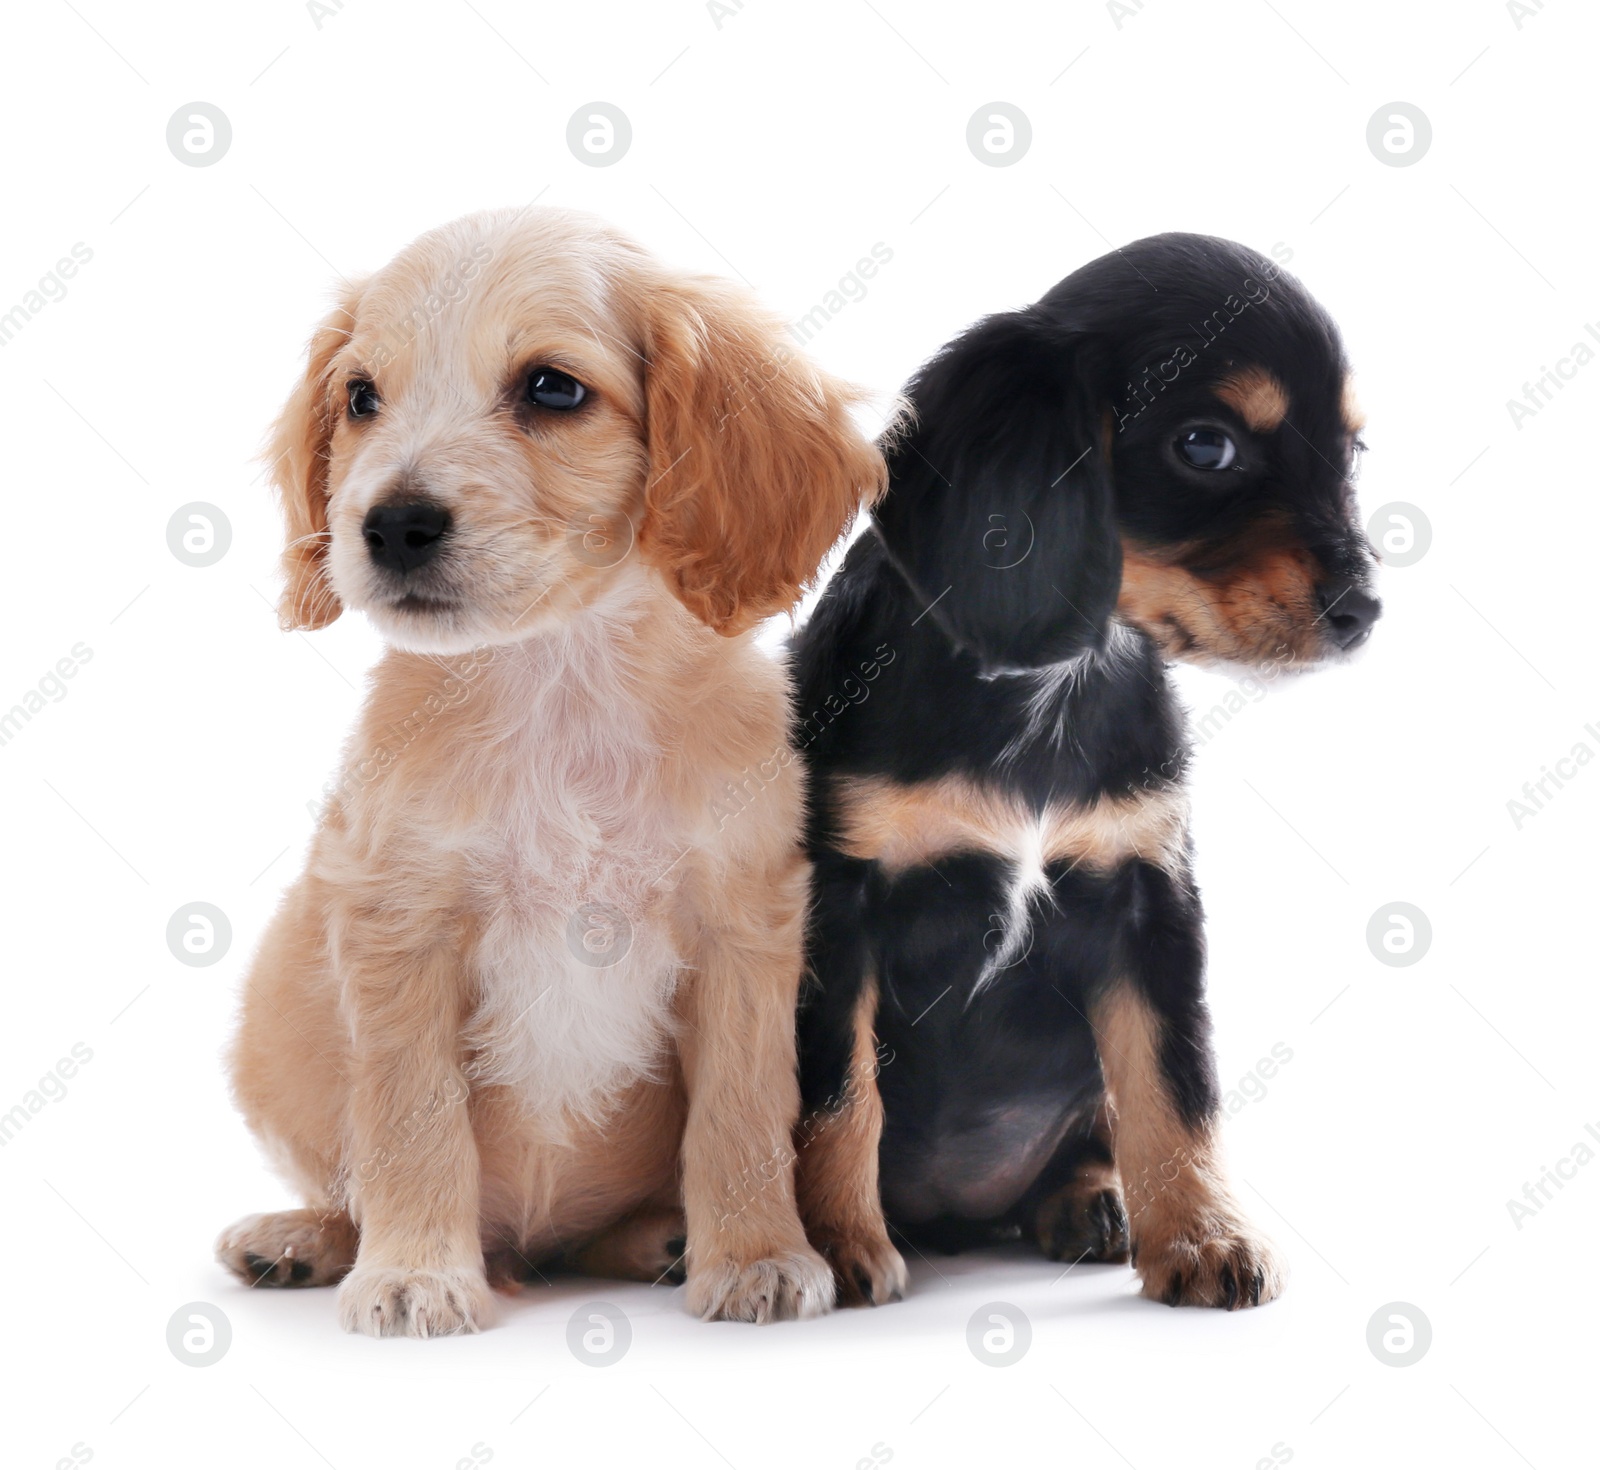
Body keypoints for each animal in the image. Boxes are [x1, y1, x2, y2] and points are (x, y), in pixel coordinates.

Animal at [793, 235, 1382, 1305]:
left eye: (1352, 451)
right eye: (1205, 446)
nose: (1365, 610)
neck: (1052, 683)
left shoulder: (1150, 899)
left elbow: (1172, 1083)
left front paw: (1204, 1237)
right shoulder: (834, 901)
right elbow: (836, 1089)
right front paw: (829, 1242)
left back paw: (1091, 1202)